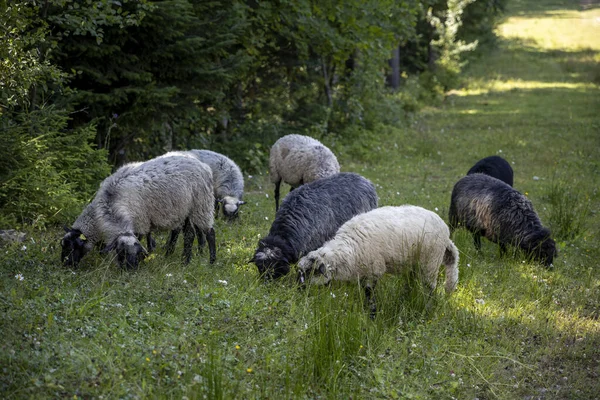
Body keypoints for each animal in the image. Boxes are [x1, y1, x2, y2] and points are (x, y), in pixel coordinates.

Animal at [60, 155, 216, 268]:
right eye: (64, 247)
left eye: (74, 247)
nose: (65, 265)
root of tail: (203, 165)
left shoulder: (140, 221)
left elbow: (142, 239)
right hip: (186, 210)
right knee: (190, 234)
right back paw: (185, 262)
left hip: (202, 205)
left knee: (210, 232)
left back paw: (212, 262)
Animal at [296, 208, 460, 318]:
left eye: (311, 271)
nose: (298, 290)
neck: (349, 248)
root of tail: (445, 230)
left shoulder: (373, 271)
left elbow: (369, 294)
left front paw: (372, 315)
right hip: (415, 262)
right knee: (412, 282)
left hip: (431, 261)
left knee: (430, 287)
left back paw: (427, 307)